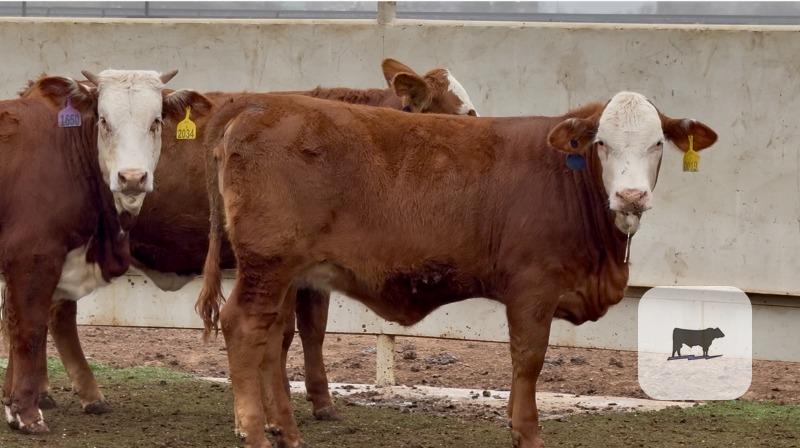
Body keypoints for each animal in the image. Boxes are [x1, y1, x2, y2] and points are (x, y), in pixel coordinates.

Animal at [0, 70, 211, 433]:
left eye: (156, 121)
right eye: (103, 120)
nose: (132, 177)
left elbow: (18, 325)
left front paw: (13, 408)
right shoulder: (32, 258)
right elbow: (28, 330)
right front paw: (27, 414)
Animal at [23, 59, 479, 423]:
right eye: (461, 114)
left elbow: (312, 329)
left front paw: (319, 401)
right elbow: (284, 332)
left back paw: (45, 392)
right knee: (56, 313)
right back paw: (82, 394)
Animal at [196, 91, 718, 448]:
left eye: (657, 143)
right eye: (603, 144)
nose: (631, 196)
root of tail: (258, 104)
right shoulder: (532, 287)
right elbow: (528, 359)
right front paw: (526, 432)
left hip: (285, 272)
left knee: (273, 338)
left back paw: (285, 431)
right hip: (267, 264)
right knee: (243, 327)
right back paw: (254, 432)